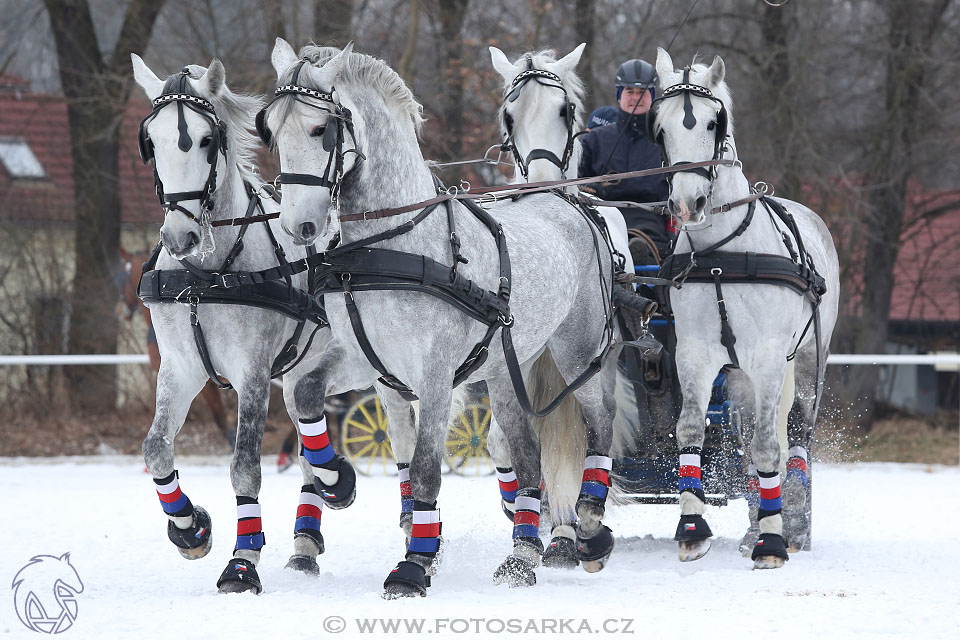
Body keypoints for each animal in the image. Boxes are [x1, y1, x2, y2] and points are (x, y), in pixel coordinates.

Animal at [131, 55, 420, 596]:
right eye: (151, 141)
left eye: (207, 140)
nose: (180, 237)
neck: (208, 274)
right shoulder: (180, 368)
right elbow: (156, 449)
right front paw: (191, 529)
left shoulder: (253, 371)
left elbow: (245, 466)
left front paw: (242, 562)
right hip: (304, 370)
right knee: (310, 441)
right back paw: (310, 532)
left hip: (379, 371)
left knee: (404, 441)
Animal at [262, 42, 632, 596]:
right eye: (270, 128)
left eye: (320, 129)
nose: (299, 226)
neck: (392, 243)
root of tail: (566, 198)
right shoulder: (370, 366)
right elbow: (310, 397)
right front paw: (336, 481)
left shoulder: (434, 374)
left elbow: (425, 470)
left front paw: (413, 566)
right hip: (506, 368)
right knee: (525, 453)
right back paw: (522, 555)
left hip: (577, 350)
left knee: (599, 422)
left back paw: (587, 524)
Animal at [652, 51, 840, 568]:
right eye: (660, 128)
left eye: (712, 123)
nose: (688, 203)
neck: (721, 254)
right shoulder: (694, 355)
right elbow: (692, 429)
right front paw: (692, 530)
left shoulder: (771, 356)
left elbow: (767, 444)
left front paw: (773, 542)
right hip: (738, 377)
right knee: (746, 441)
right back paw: (756, 522)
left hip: (809, 357)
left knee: (793, 431)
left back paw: (789, 519)